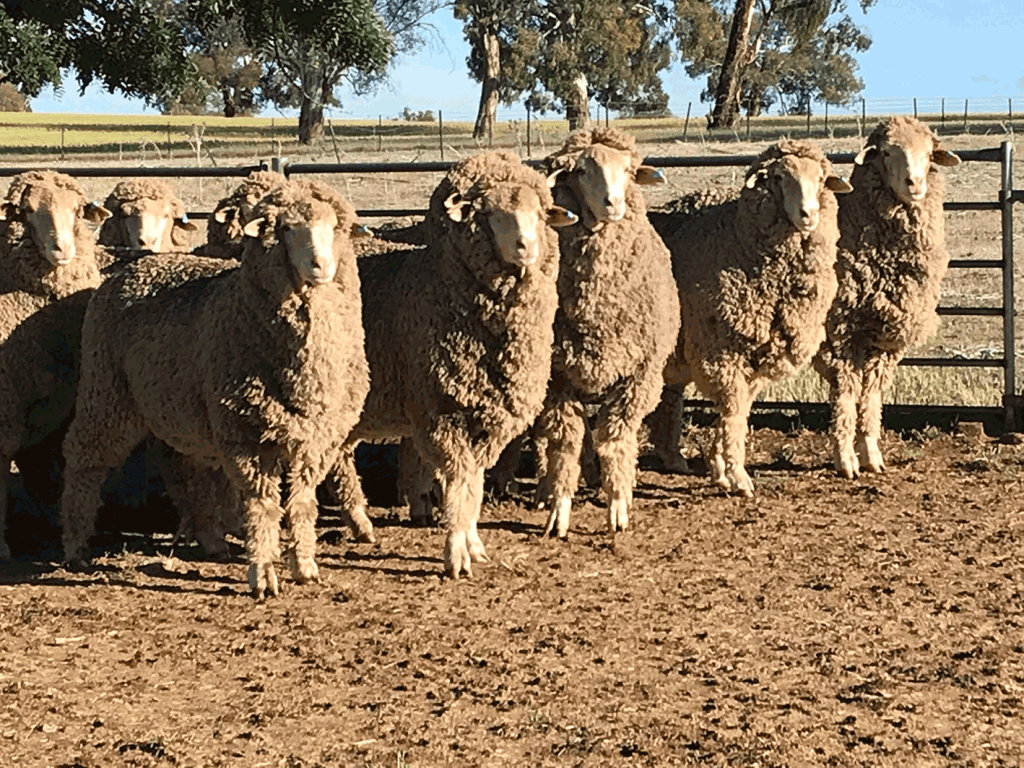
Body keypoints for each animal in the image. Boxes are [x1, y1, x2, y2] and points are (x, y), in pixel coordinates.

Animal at [0, 171, 110, 561]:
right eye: (28, 210)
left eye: (77, 210)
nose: (62, 249)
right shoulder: (7, 406)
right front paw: (2, 547)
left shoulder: (58, 408)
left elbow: (49, 471)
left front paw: (58, 526)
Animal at [323, 150, 577, 577]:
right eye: (489, 213)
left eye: (541, 212)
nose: (526, 246)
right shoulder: (442, 412)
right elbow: (459, 480)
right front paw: (457, 552)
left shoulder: (490, 418)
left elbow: (473, 481)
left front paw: (473, 542)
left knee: (338, 456)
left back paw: (359, 525)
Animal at [536, 126, 679, 536]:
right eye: (582, 172)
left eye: (628, 172)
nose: (612, 203)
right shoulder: (557, 380)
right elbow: (565, 444)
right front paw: (559, 509)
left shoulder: (639, 377)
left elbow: (616, 440)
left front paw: (618, 507)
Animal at [647, 140, 856, 495]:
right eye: (779, 178)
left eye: (821, 178)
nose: (809, 214)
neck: (737, 238)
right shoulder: (722, 351)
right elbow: (733, 410)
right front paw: (737, 477)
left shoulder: (758, 356)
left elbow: (739, 410)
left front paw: (719, 467)